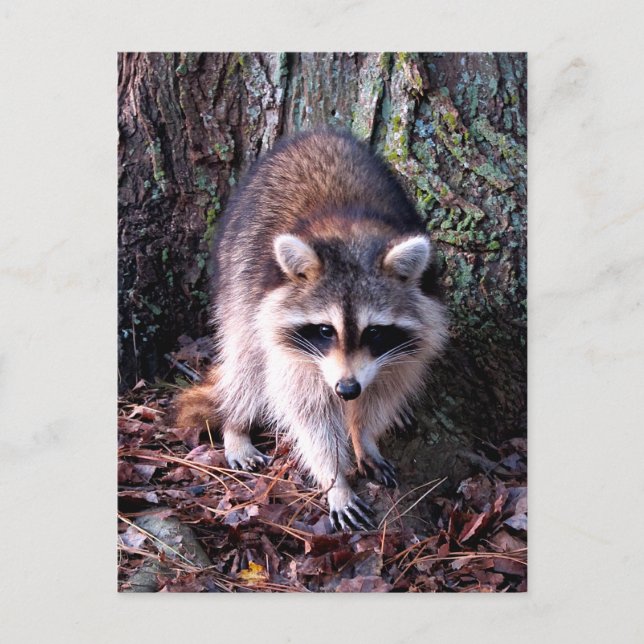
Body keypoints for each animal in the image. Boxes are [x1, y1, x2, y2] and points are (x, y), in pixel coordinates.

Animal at [177, 129, 448, 531]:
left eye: (374, 332)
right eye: (324, 330)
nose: (347, 390)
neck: (350, 235)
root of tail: (316, 133)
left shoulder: (408, 340)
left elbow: (385, 389)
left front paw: (364, 435)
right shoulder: (295, 350)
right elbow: (310, 413)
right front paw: (336, 479)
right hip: (236, 272)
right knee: (246, 360)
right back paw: (236, 424)